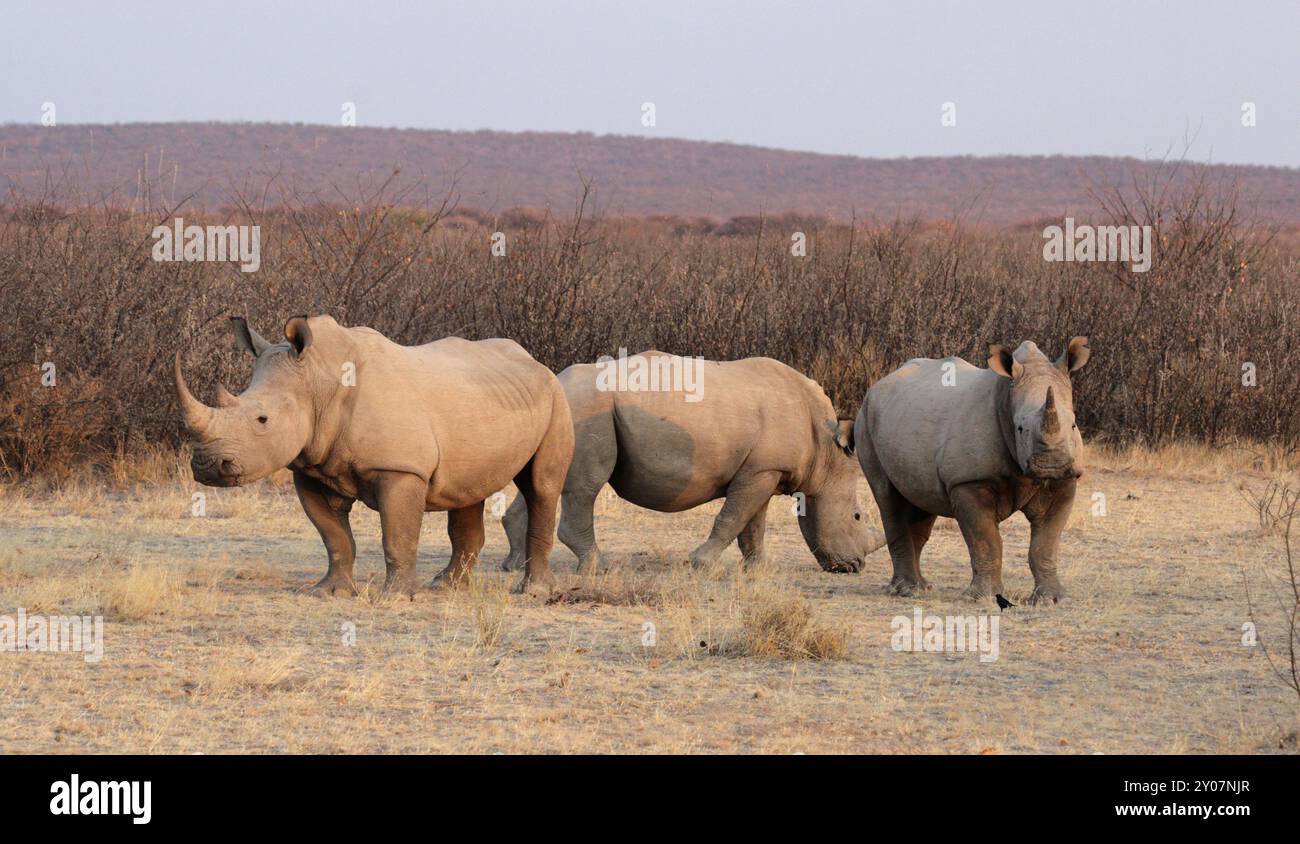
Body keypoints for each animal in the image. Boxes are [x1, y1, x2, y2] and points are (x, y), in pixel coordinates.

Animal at [496, 348, 883, 572]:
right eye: (857, 516)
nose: (856, 566)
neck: (826, 454)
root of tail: (556, 382)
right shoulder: (762, 470)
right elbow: (732, 518)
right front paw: (701, 564)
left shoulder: (764, 469)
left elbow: (753, 524)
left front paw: (758, 570)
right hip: (587, 408)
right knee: (586, 486)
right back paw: (599, 568)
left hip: (566, 410)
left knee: (546, 483)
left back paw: (514, 565)